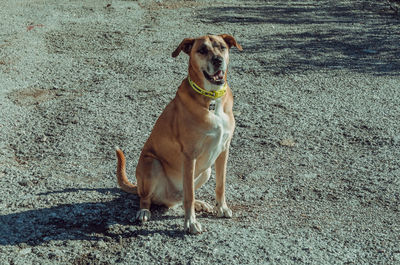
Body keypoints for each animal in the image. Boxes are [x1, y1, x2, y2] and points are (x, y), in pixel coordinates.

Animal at [114, 33, 242, 233]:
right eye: (202, 50)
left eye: (222, 47)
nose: (218, 60)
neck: (212, 100)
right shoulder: (190, 156)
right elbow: (189, 194)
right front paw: (190, 223)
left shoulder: (223, 150)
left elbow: (220, 185)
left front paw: (221, 208)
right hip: (152, 164)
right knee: (147, 198)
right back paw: (144, 211)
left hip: (206, 170)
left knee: (182, 197)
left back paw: (199, 203)